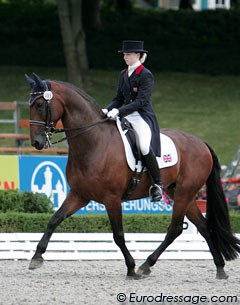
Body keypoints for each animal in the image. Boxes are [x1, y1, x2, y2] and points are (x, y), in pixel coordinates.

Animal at [25, 72, 239, 280]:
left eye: (39, 104)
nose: (36, 142)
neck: (94, 142)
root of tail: (201, 143)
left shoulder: (111, 199)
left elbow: (118, 235)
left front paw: (131, 268)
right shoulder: (79, 195)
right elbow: (54, 219)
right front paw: (36, 257)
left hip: (184, 194)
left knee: (174, 229)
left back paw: (145, 265)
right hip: (180, 193)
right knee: (203, 227)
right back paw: (219, 268)